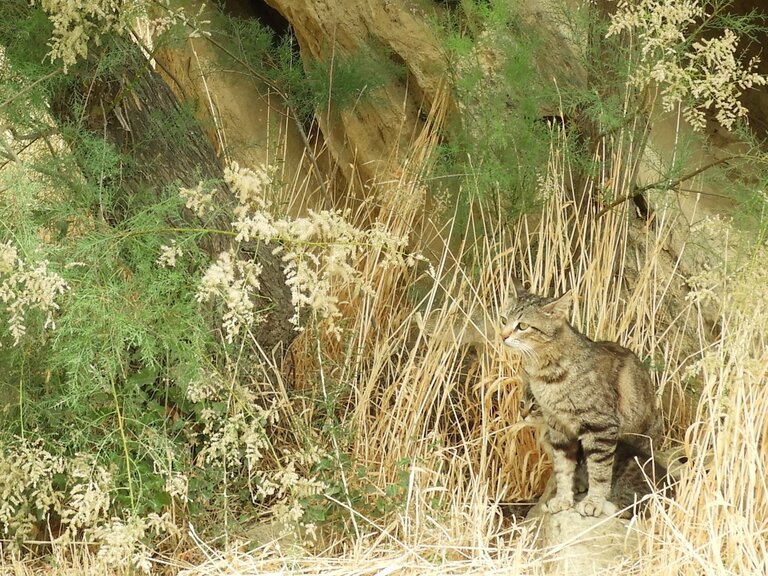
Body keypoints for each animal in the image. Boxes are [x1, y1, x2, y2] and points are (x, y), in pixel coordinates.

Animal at [504, 284, 660, 516]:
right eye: (504, 319)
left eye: (522, 326)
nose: (502, 335)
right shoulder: (559, 428)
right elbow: (563, 468)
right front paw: (562, 499)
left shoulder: (601, 427)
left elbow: (598, 470)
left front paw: (593, 502)